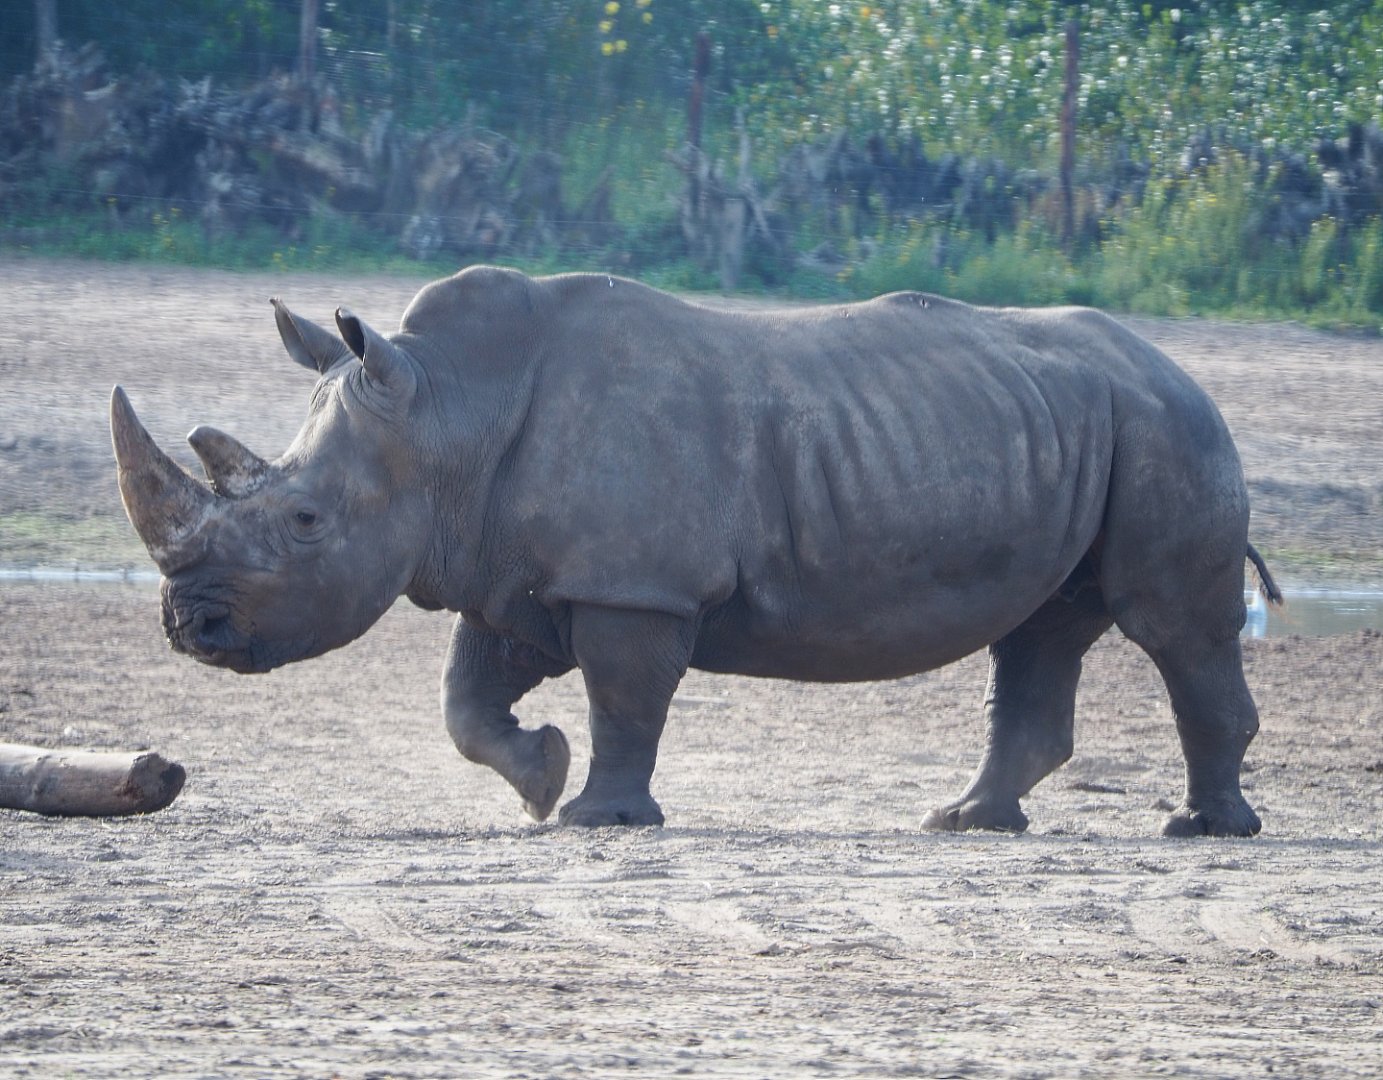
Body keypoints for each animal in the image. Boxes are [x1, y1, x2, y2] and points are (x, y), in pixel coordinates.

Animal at [111, 267, 1280, 835]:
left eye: (305, 523)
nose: (187, 627)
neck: (446, 412)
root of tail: (1179, 368)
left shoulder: (634, 587)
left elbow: (625, 699)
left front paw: (599, 818)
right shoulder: (519, 573)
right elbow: (466, 704)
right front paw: (539, 783)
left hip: (1170, 427)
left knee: (1172, 629)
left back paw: (1203, 830)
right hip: (1088, 425)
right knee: (1041, 631)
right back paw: (966, 824)